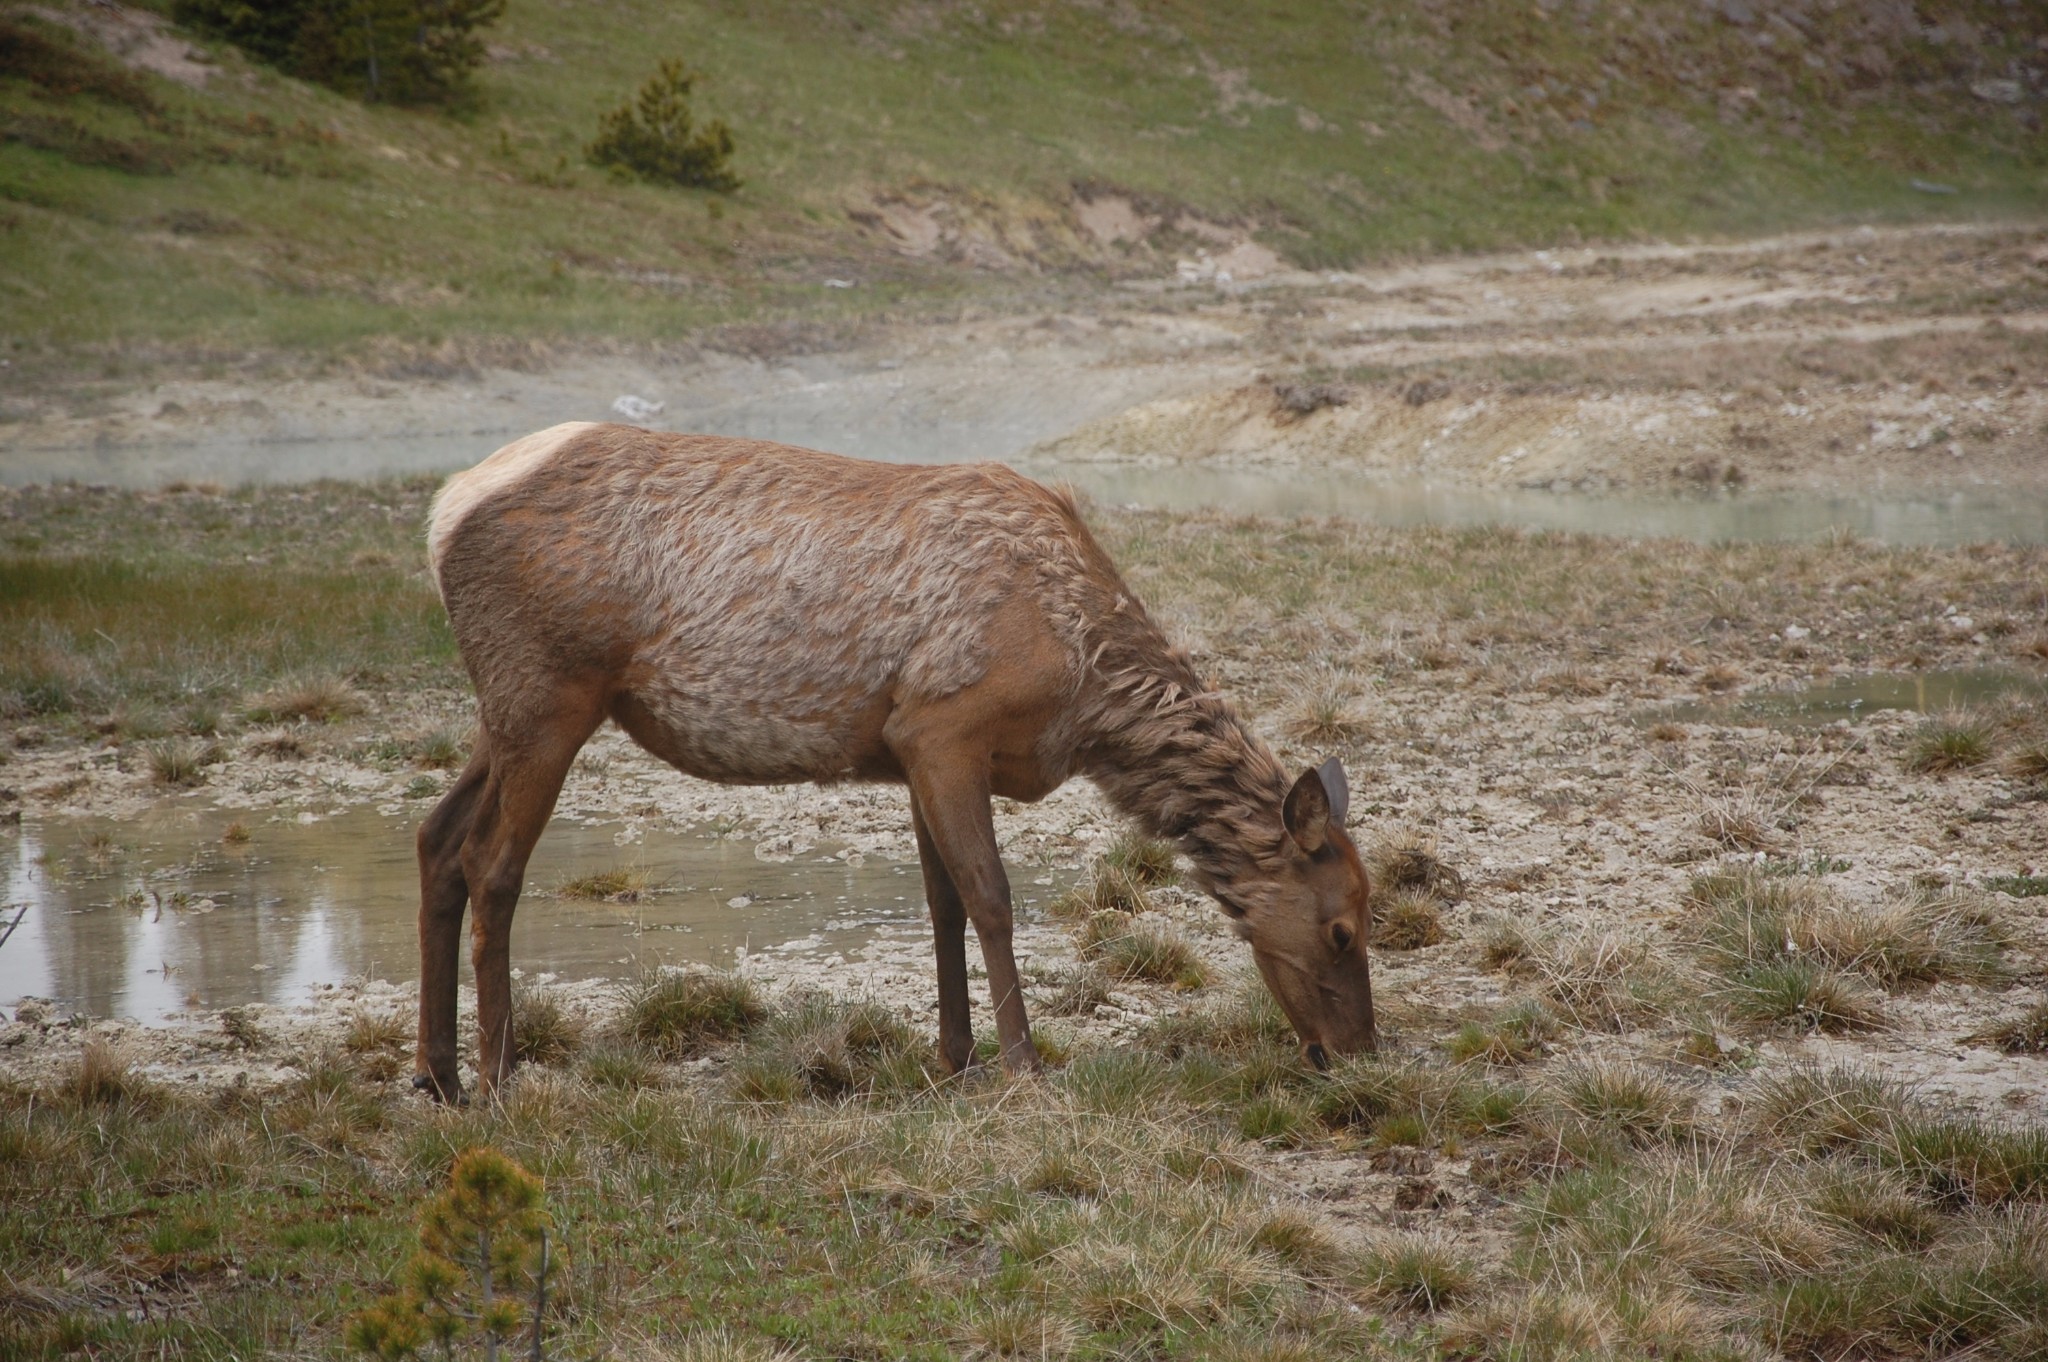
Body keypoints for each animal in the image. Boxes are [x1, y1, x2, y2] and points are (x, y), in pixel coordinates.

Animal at [415, 419, 1376, 1097]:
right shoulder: (945, 725)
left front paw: (957, 1057)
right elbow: (990, 899)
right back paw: (499, 1076)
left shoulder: (911, 746)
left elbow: (940, 903)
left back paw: (437, 1071)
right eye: (1343, 928)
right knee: (492, 864)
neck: (1081, 690)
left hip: (506, 708)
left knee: (436, 839)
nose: (1360, 1053)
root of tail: (441, 514)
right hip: (550, 692)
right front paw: (1024, 1065)